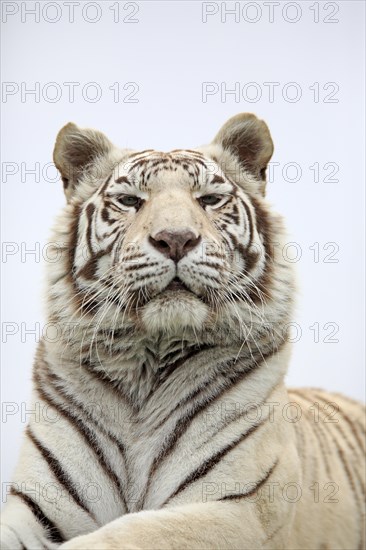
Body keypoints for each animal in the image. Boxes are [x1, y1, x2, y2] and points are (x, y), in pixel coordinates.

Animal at [1, 114, 364, 548]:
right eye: (130, 201)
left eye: (209, 199)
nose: (175, 239)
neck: (147, 367)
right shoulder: (36, 505)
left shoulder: (240, 509)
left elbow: (127, 532)